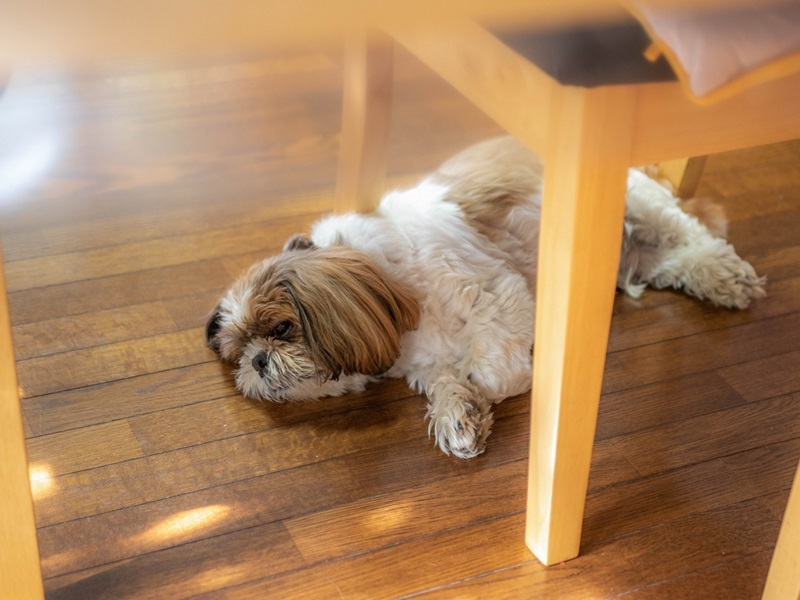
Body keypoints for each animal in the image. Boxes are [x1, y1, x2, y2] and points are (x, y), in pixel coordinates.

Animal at [203, 136, 764, 458]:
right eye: (238, 350)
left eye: (281, 328)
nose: (257, 361)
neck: (391, 281)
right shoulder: (425, 364)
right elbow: (447, 382)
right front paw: (460, 416)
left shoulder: (498, 295)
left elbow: (494, 371)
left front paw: (487, 394)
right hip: (637, 253)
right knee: (670, 261)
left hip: (642, 205)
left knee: (691, 234)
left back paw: (726, 275)